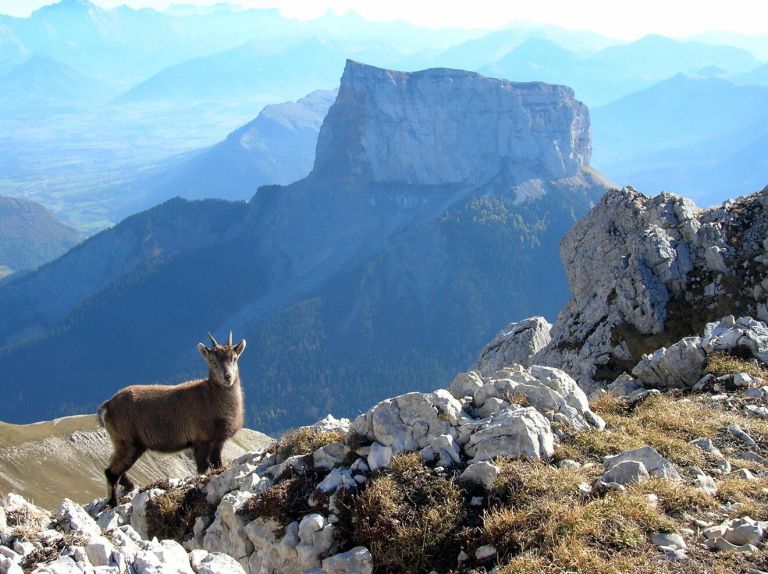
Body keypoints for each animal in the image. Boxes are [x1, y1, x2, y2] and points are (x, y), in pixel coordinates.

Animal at [97, 331, 246, 507]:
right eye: (213, 361)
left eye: (234, 358)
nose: (227, 376)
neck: (211, 398)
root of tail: (108, 405)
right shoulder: (200, 442)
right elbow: (202, 468)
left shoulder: (218, 441)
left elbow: (217, 464)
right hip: (127, 443)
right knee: (111, 472)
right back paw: (114, 503)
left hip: (127, 445)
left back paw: (129, 487)